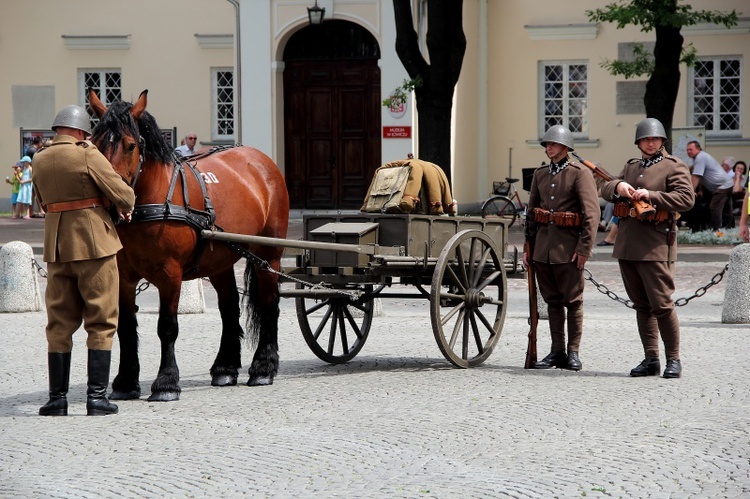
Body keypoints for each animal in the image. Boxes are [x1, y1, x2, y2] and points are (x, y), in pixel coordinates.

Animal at [87, 89, 288, 402]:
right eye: (94, 145)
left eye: (130, 146)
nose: (108, 201)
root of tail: (260, 160)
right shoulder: (123, 276)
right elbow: (126, 327)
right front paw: (126, 381)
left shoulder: (170, 275)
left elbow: (167, 327)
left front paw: (166, 382)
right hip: (220, 259)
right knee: (229, 307)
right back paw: (225, 367)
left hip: (268, 255)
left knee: (269, 305)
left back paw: (263, 367)